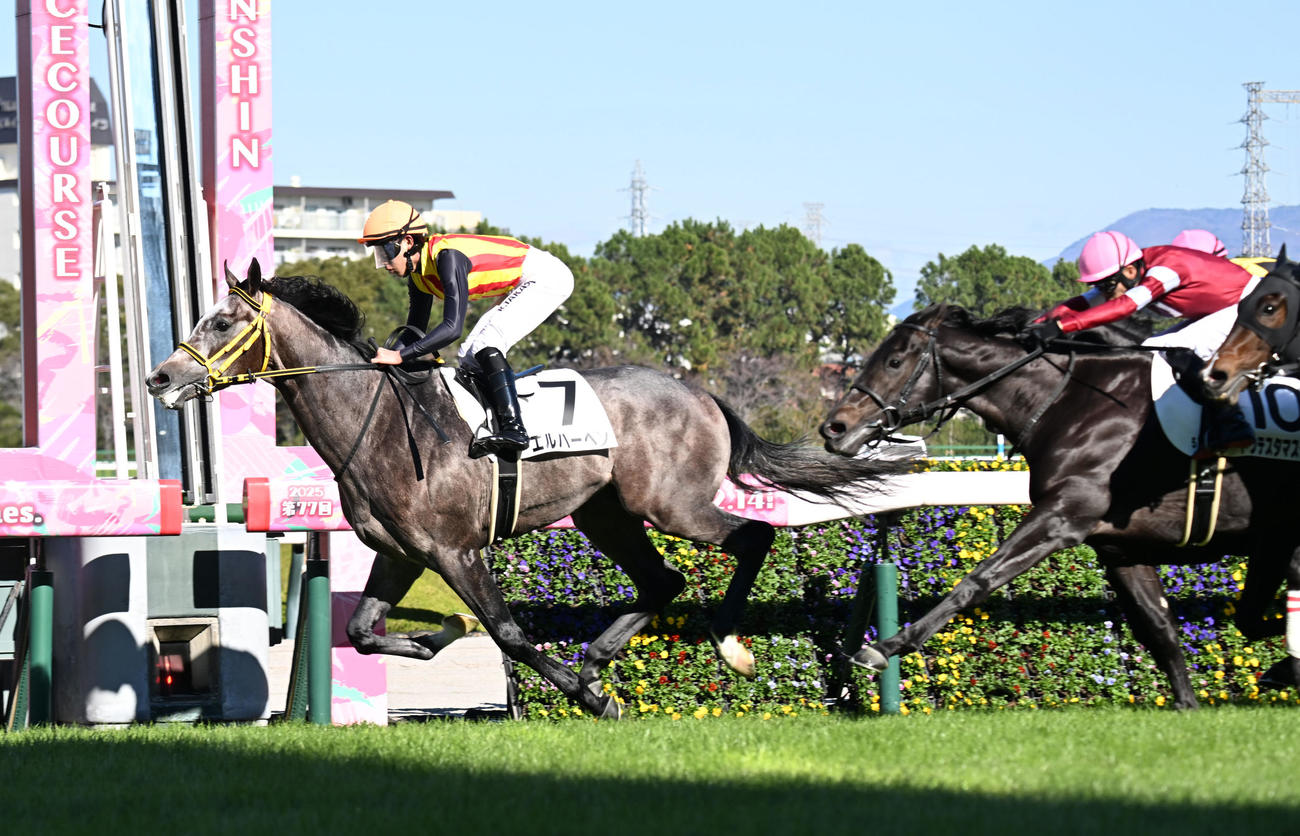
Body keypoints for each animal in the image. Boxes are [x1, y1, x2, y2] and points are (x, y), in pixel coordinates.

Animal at [145, 259, 904, 718]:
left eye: (222, 321)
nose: (159, 377)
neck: (378, 418)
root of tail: (701, 392)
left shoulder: (455, 551)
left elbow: (508, 632)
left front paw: (584, 696)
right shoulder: (402, 553)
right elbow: (362, 633)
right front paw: (441, 635)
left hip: (671, 505)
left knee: (753, 536)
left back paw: (726, 646)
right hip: (608, 516)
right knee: (663, 581)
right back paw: (597, 660)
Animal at [818, 303, 1300, 707]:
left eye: (894, 361)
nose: (834, 428)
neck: (1074, 403)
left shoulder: (1062, 515)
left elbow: (977, 580)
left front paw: (884, 647)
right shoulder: (1118, 548)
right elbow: (1159, 626)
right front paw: (1187, 703)